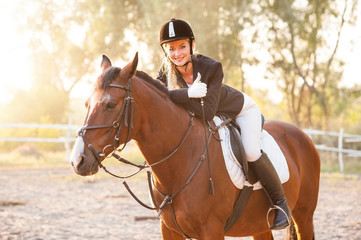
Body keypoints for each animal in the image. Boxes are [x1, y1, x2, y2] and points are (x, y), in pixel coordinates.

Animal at [69, 53, 320, 240]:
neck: (183, 159)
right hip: (259, 225)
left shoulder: (212, 230)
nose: (77, 161)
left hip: (304, 215)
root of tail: (301, 135)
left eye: (110, 104)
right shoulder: (169, 230)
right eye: (86, 103)